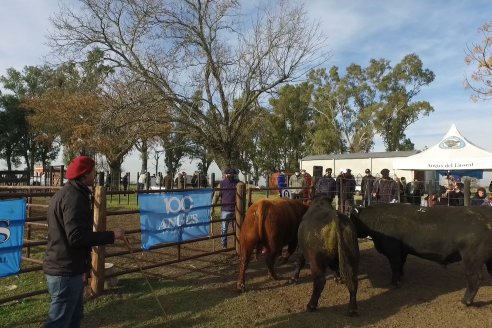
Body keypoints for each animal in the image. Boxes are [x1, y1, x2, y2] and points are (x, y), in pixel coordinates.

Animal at [352, 204, 492, 306]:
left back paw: (465, 301)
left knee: (474, 278)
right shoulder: (402, 252)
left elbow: (395, 267)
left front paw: (394, 283)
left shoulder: (393, 252)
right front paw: (401, 278)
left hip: (471, 258)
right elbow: (400, 265)